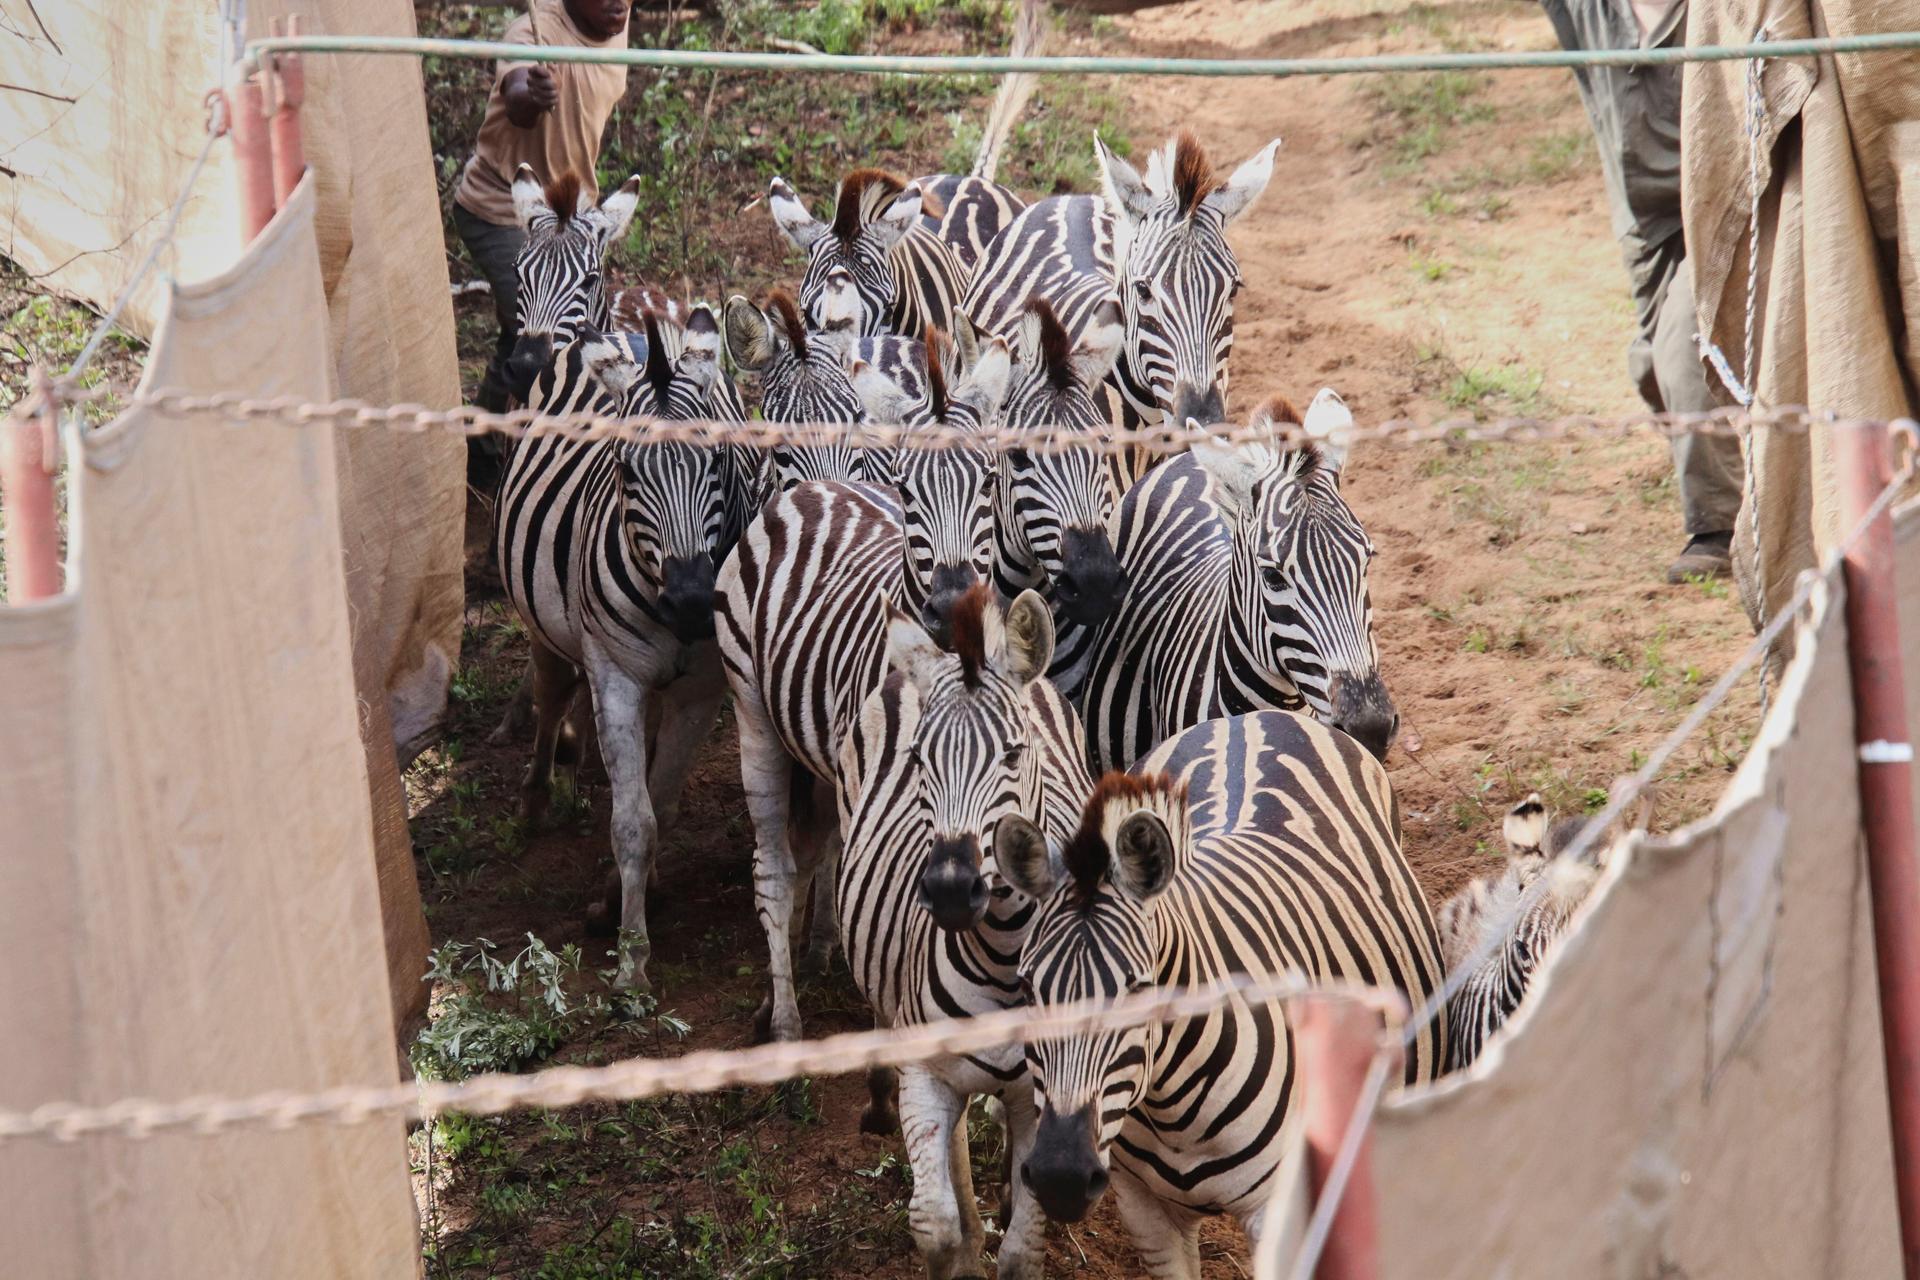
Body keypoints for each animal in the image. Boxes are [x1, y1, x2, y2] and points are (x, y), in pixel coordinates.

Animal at [495, 306, 754, 988]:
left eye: (718, 461)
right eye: (626, 470)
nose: (690, 601)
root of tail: (632, 329)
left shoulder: (702, 690)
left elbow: (659, 800)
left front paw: (624, 896)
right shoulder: (615, 676)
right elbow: (634, 821)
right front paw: (631, 962)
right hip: (542, 621)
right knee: (552, 688)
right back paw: (536, 795)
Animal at [714, 330, 1012, 1042]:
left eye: (990, 481)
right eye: (906, 488)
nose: (953, 607)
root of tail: (815, 486)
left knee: (823, 840)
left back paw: (821, 946)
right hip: (753, 710)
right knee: (775, 869)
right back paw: (785, 1019)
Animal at [829, 585, 1089, 1279]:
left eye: (1015, 754)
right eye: (920, 760)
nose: (949, 889)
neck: (1000, 954)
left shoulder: (1045, 1094)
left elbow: (1024, 1251)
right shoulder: (926, 1072)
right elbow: (938, 1225)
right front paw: (965, 1246)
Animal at [993, 711, 1448, 1275]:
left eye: (1141, 988)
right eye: (1028, 986)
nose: (1061, 1176)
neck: (1170, 1108)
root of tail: (1248, 718)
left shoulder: (1276, 1209)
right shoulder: (1143, 1207)